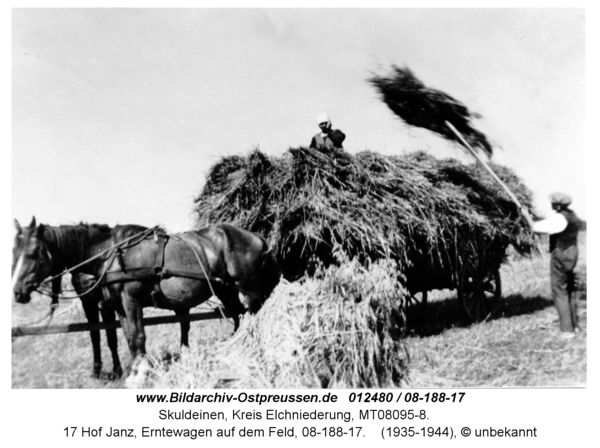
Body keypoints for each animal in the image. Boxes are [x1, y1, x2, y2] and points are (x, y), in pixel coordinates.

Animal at [11, 217, 278, 378]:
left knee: (255, 317)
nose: (16, 292)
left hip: (250, 290)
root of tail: (259, 238)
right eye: (14, 251)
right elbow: (127, 338)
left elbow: (138, 337)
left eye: (33, 253)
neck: (110, 253)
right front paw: (132, 370)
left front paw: (142, 371)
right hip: (226, 290)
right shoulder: (118, 306)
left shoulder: (132, 300)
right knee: (238, 318)